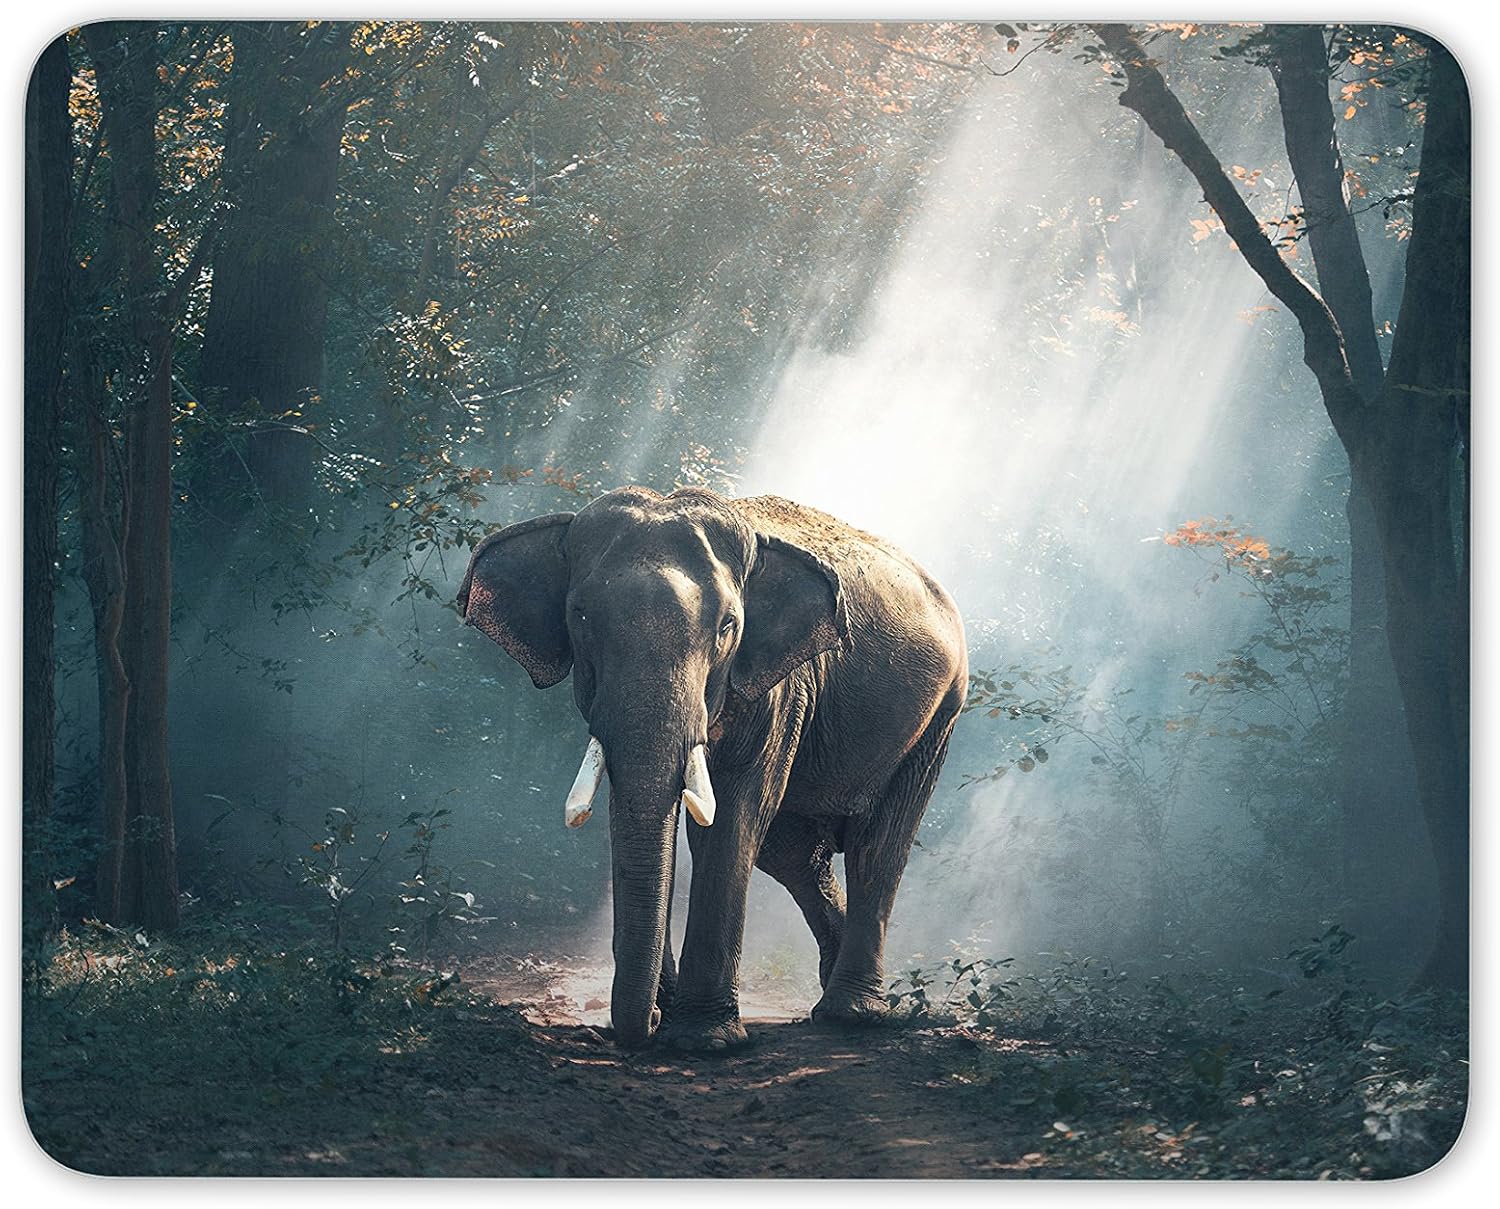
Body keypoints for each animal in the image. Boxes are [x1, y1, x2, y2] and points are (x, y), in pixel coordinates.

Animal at [457, 486, 967, 1052]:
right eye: (580, 617)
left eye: (728, 627)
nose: (649, 1022)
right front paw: (671, 1015)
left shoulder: (780, 687)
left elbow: (733, 816)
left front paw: (704, 1040)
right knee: (793, 853)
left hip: (940, 714)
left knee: (877, 847)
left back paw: (852, 1014)